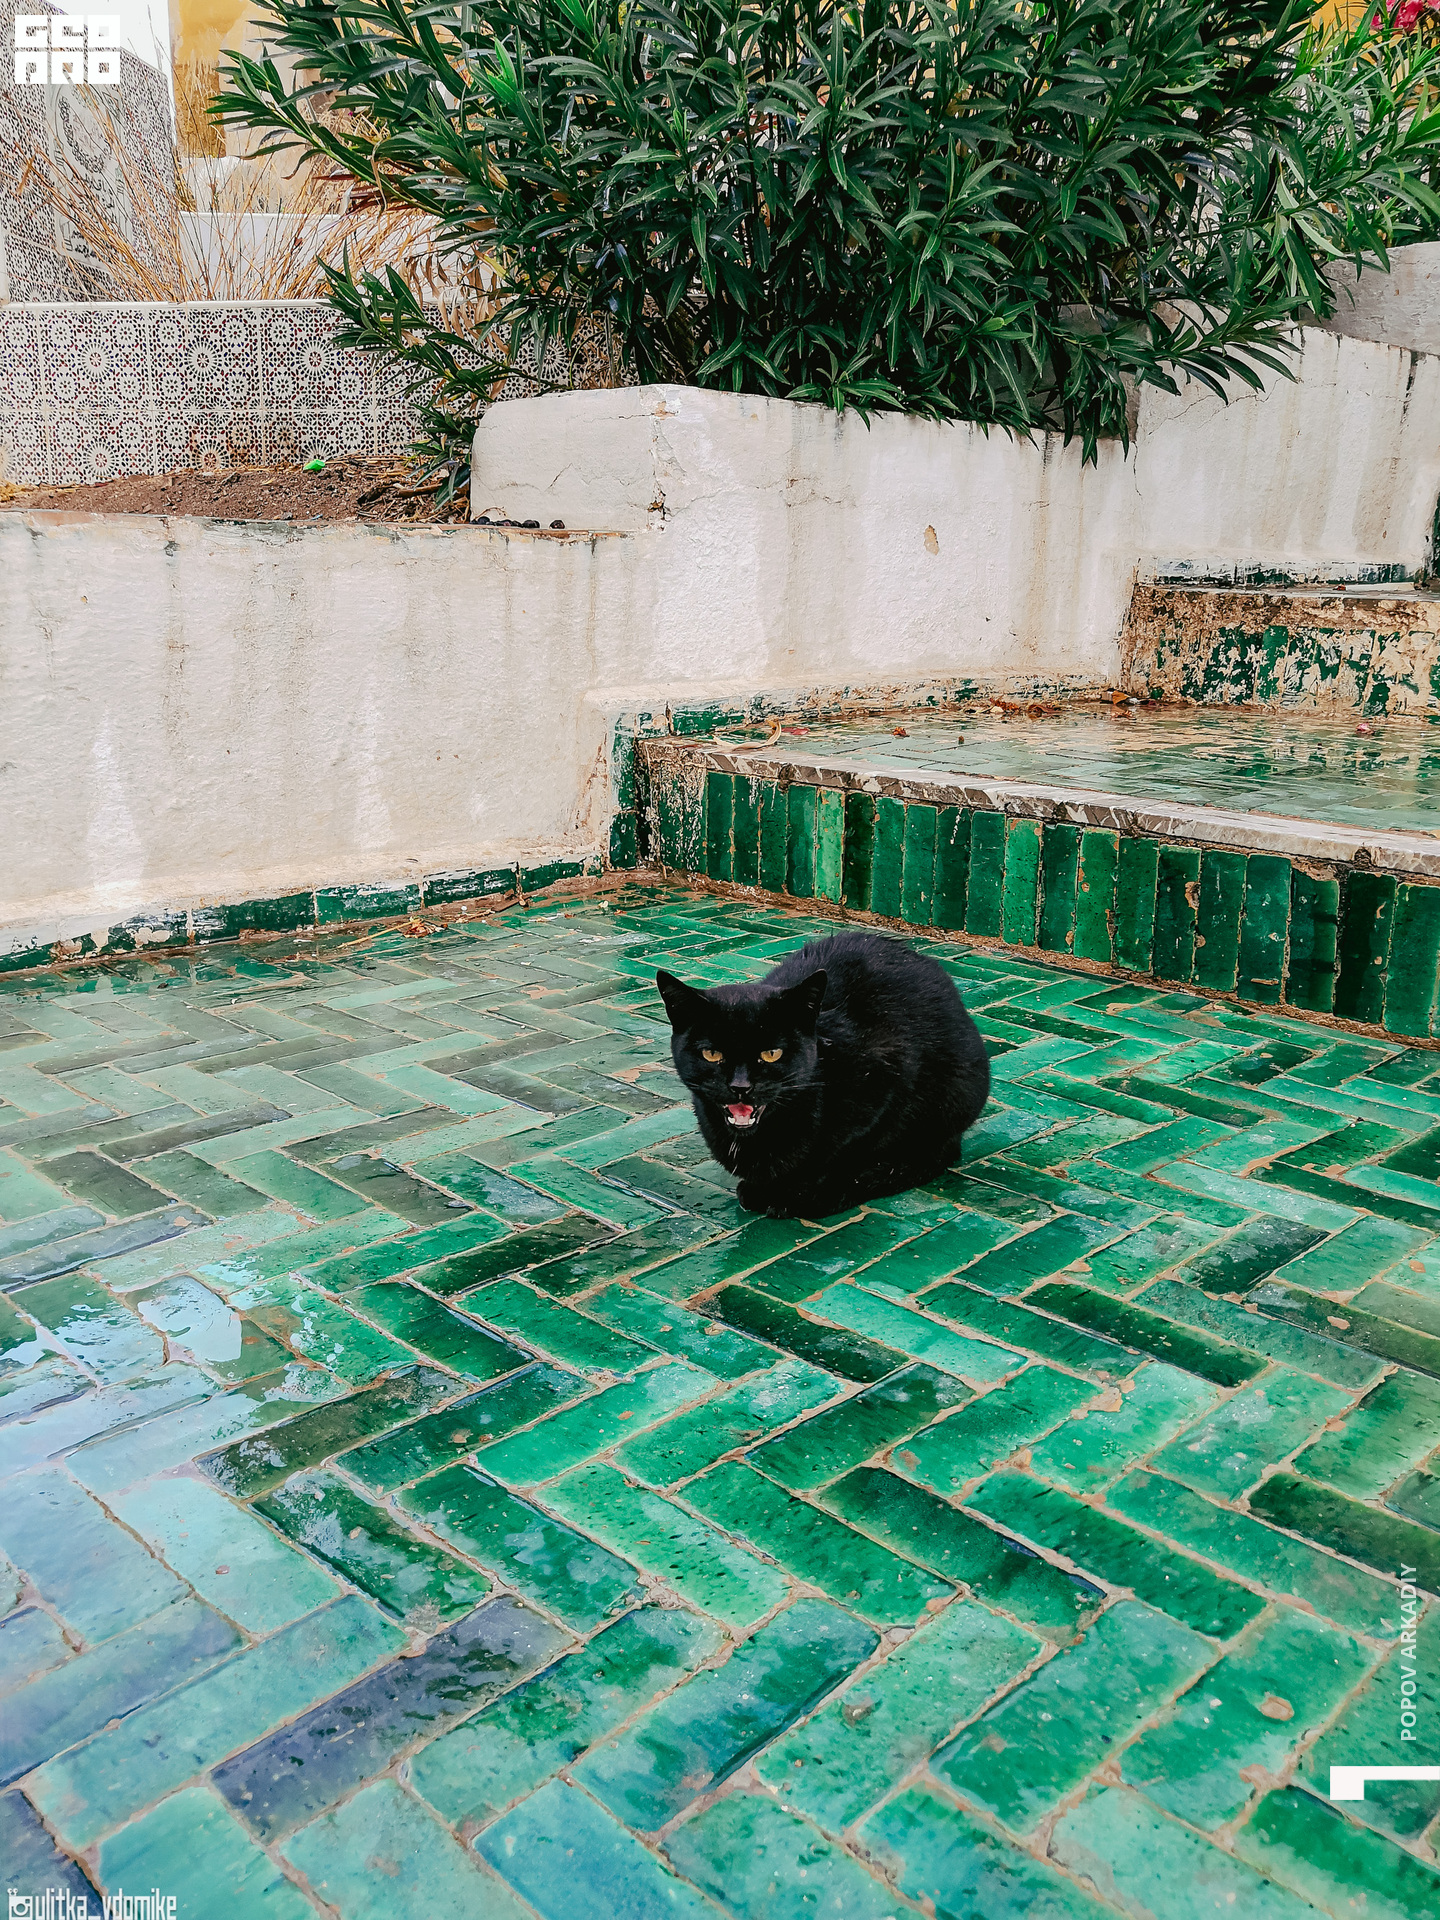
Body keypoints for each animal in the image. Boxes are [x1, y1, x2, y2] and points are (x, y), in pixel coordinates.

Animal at [656, 928, 990, 1219]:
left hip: (957, 1095)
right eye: (712, 1054)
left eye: (771, 1053)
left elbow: (848, 1153)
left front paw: (807, 1192)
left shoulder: (889, 1075)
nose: (741, 1086)